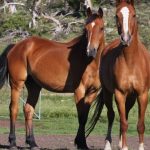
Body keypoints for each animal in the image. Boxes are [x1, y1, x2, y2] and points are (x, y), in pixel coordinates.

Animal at [0, 6, 105, 149]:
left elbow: (85, 116)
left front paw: (82, 143)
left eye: (101, 28)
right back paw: (12, 142)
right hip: (17, 84)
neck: (89, 62)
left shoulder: (92, 93)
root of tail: (16, 46)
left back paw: (32, 142)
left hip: (34, 87)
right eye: (86, 28)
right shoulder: (79, 91)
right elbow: (81, 117)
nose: (90, 51)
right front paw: (80, 143)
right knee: (13, 109)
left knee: (28, 109)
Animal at [86, 0, 149, 150]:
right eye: (116, 15)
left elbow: (140, 125)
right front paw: (125, 147)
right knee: (112, 115)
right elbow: (123, 122)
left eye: (134, 15)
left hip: (131, 97)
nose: (125, 38)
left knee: (125, 114)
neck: (131, 61)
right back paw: (109, 144)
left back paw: (120, 143)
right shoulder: (120, 94)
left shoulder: (142, 94)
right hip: (108, 93)